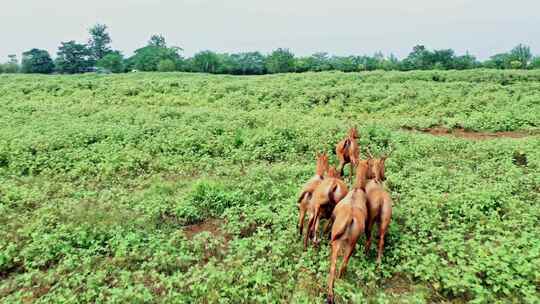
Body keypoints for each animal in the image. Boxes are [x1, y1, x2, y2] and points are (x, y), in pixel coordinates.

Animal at [324, 160, 372, 302]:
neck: (357, 189)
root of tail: (350, 217)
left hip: (344, 243)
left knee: (336, 266)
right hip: (349, 243)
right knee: (341, 265)